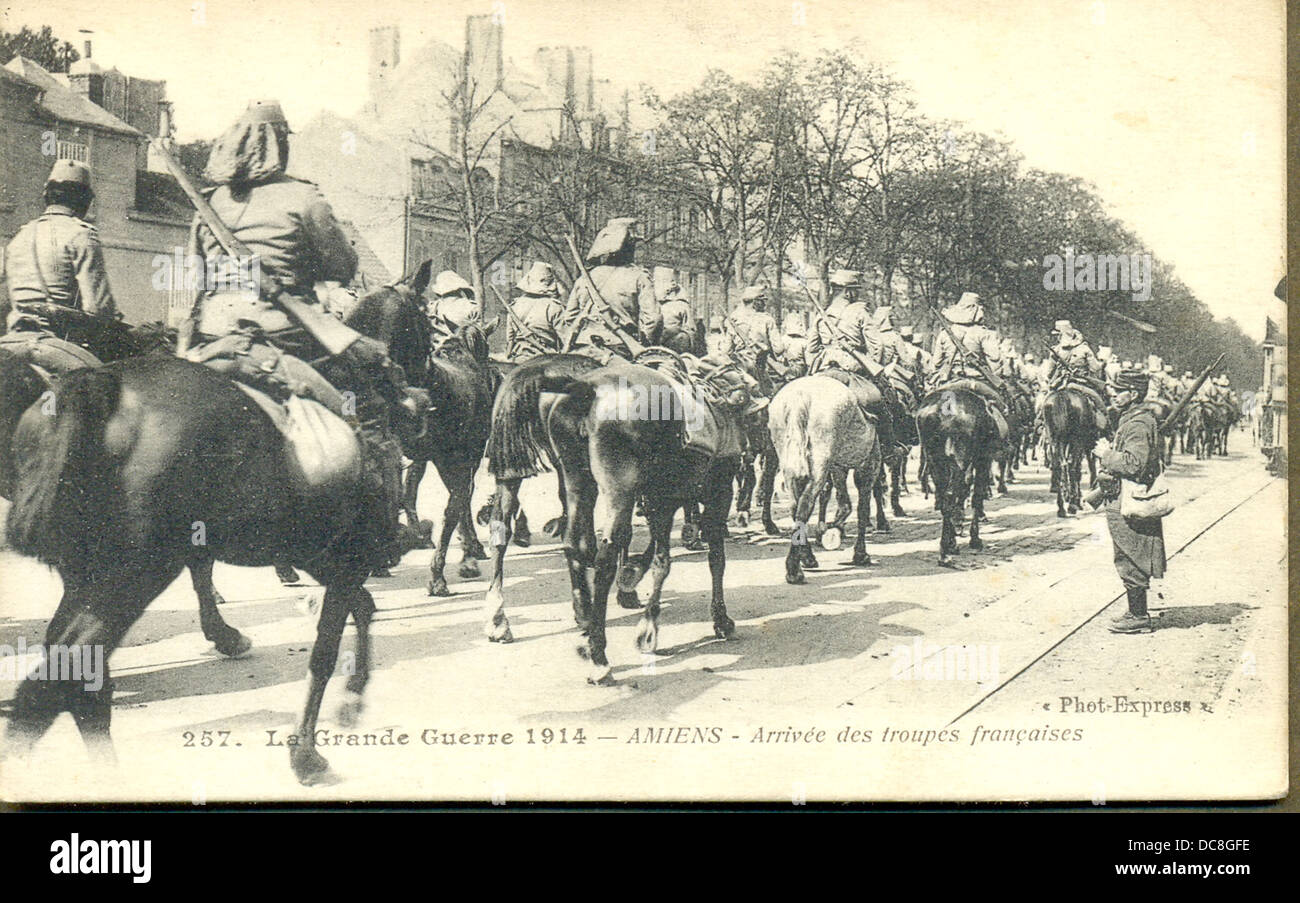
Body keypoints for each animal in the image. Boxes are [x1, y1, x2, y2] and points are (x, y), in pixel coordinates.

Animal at [3, 275, 431, 784]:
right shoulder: (346, 560)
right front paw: (305, 753)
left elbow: (363, 610)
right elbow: (325, 650)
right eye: (427, 321)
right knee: (58, 685)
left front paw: (351, 699)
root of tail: (95, 384)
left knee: (77, 687)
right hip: (131, 579)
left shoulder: (323, 558)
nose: (425, 396)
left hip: (85, 579)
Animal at [764, 374, 878, 587]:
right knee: (805, 505)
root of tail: (800, 397)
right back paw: (794, 570)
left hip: (789, 461)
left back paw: (806, 557)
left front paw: (830, 530)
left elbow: (844, 502)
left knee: (796, 506)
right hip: (819, 462)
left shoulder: (838, 465)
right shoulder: (868, 464)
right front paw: (859, 553)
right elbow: (861, 508)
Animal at [915, 387, 993, 566]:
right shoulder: (983, 460)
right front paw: (974, 539)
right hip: (960, 457)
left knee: (944, 497)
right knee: (952, 494)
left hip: (935, 460)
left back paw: (947, 547)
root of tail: (946, 405)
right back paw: (945, 553)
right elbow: (976, 496)